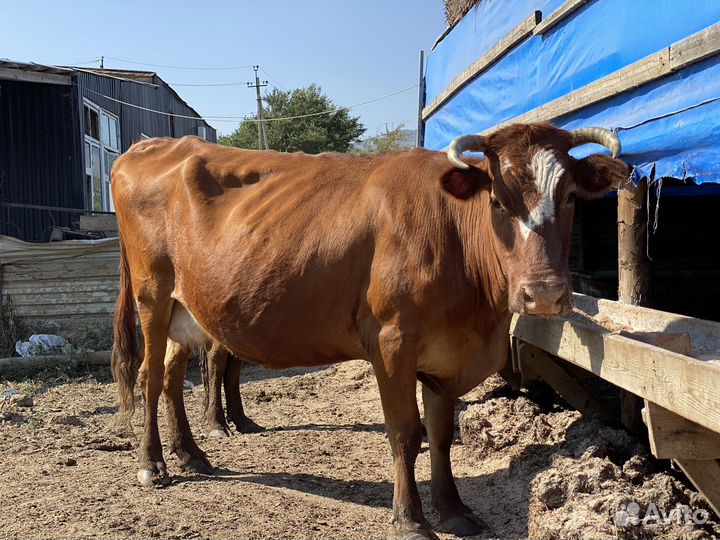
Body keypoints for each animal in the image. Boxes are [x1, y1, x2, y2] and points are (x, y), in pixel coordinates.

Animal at [110, 123, 628, 540]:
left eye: (569, 198)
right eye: (497, 201)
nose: (544, 293)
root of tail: (148, 146)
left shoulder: (447, 355)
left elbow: (442, 434)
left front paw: (454, 511)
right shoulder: (392, 342)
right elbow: (405, 432)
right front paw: (411, 519)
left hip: (185, 310)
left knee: (172, 376)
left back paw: (190, 454)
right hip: (152, 295)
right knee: (149, 377)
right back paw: (152, 465)